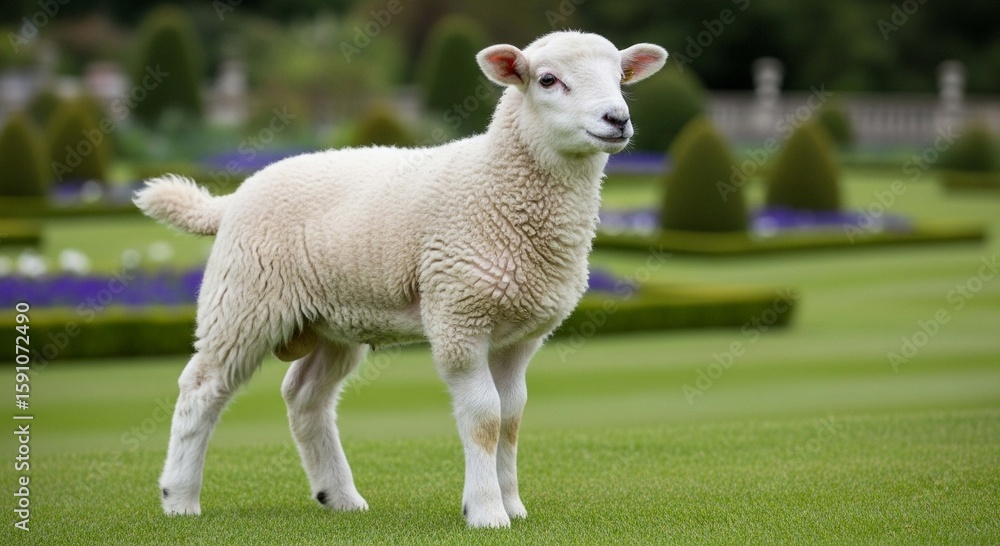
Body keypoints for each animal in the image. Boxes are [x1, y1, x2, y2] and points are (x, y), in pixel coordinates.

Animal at [134, 30, 667, 529]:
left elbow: (512, 416)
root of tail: (231, 199)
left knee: (305, 397)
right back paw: (179, 498)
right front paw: (486, 511)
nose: (616, 119)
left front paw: (513, 505)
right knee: (201, 388)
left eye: (620, 77)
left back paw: (339, 496)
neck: (494, 184)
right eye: (548, 80)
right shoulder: (458, 316)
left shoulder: (521, 334)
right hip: (244, 298)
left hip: (330, 318)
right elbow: (485, 417)